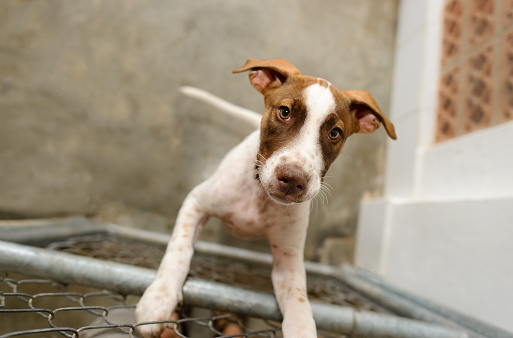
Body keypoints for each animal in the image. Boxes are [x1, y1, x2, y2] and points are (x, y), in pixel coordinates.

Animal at [134, 58, 394, 338]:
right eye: (284, 112)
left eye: (335, 133)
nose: (293, 179)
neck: (259, 196)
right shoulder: (195, 203)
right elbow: (179, 250)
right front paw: (158, 300)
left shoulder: (288, 261)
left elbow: (299, 302)